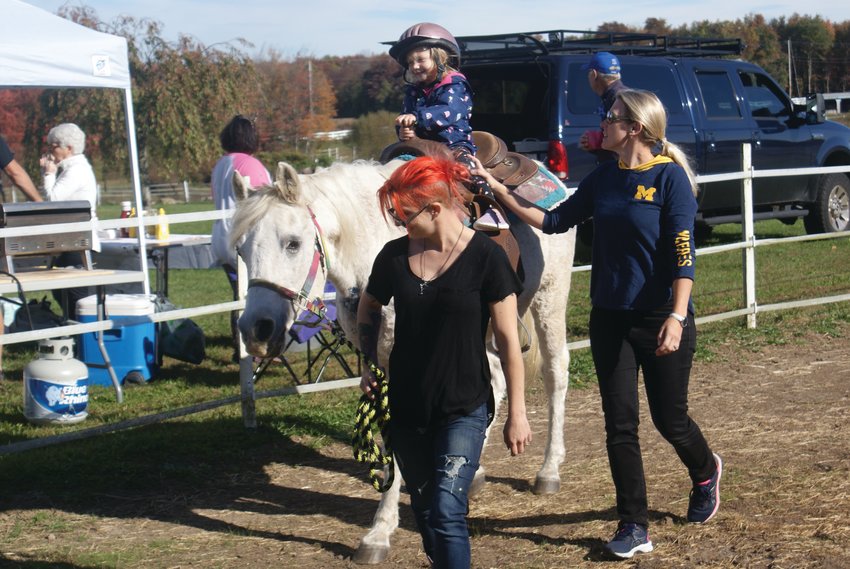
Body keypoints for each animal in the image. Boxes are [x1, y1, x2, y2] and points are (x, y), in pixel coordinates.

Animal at [232, 158, 576, 560]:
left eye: (293, 243)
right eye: (241, 250)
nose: (256, 331)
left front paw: (379, 532)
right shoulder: (378, 360)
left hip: (550, 299)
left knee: (555, 372)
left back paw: (549, 470)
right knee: (495, 378)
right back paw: (473, 474)